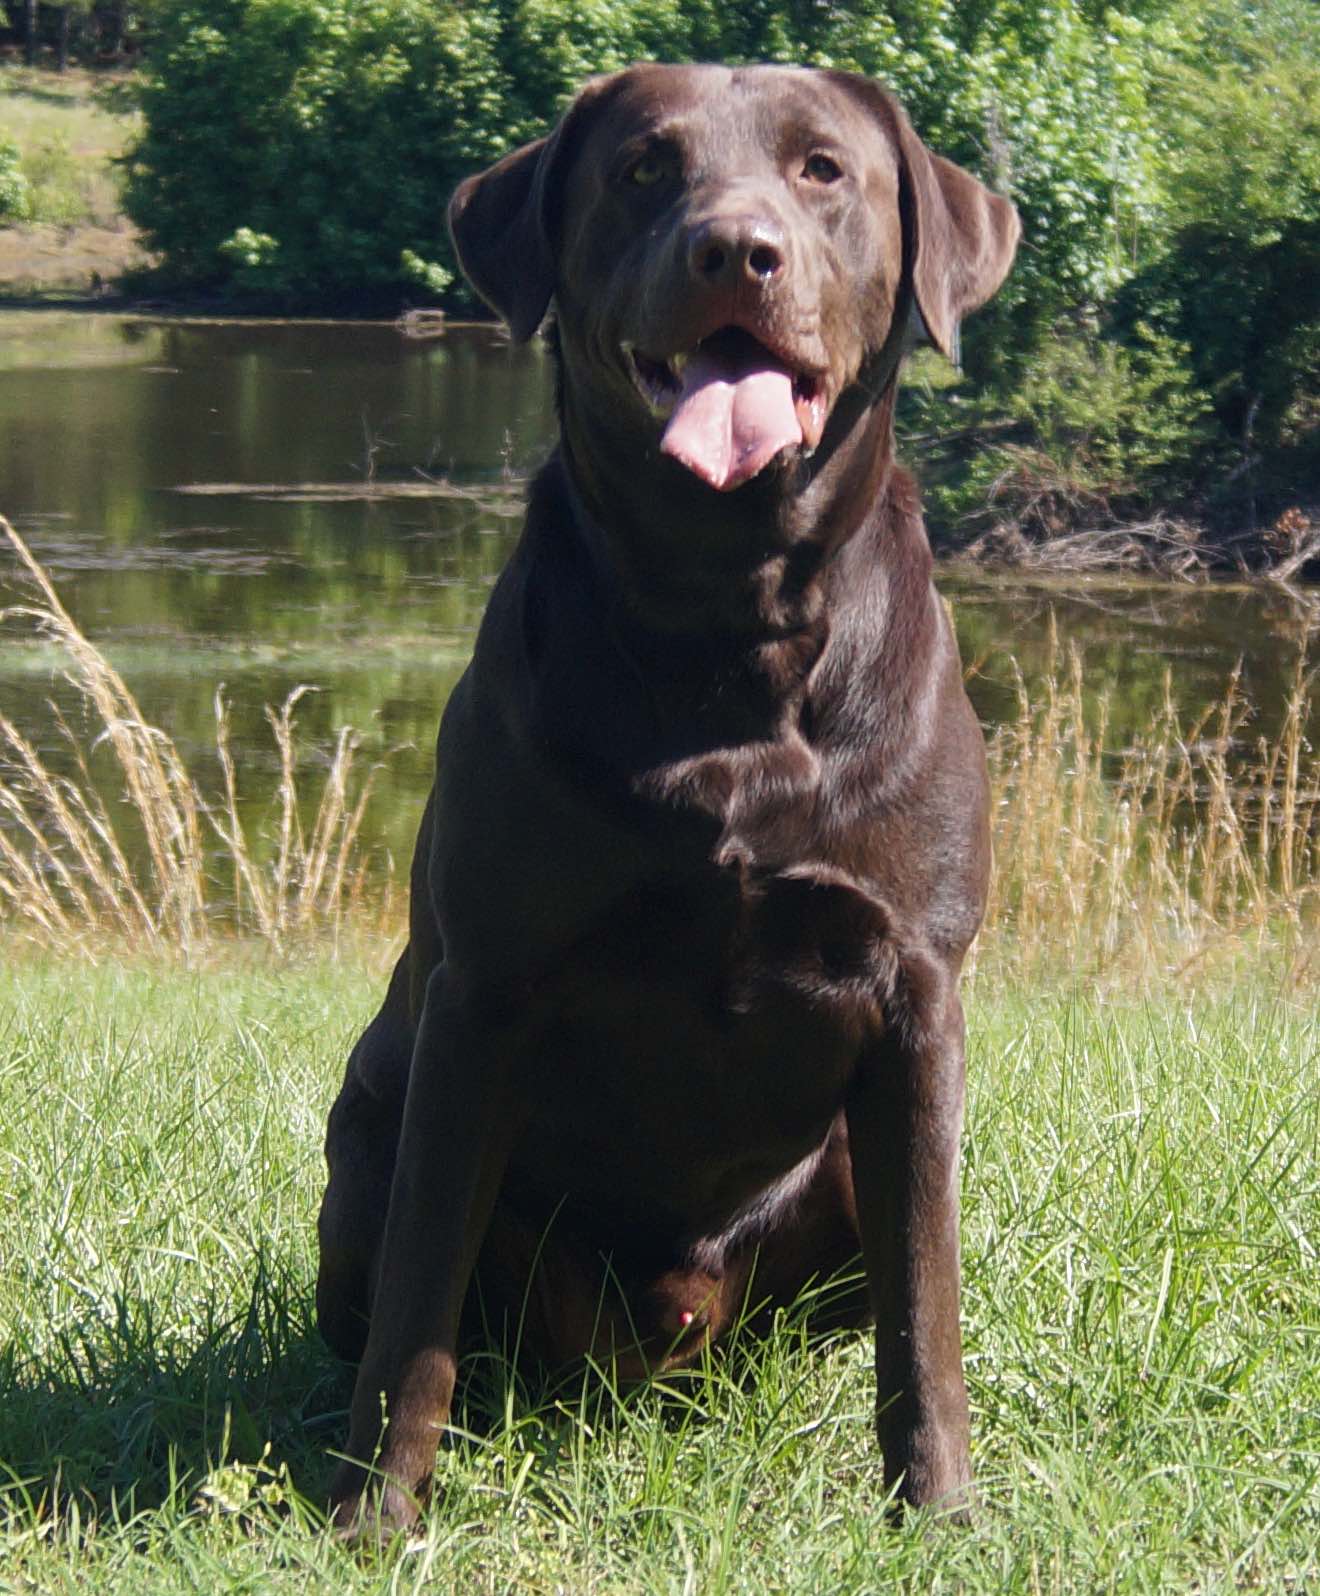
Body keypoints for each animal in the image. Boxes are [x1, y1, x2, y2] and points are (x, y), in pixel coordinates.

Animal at [320, 65, 1021, 1532]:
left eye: (823, 171)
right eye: (646, 169)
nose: (735, 250)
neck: (726, 616)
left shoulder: (916, 995)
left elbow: (925, 1307)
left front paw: (938, 1509)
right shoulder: (481, 996)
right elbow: (420, 1300)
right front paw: (376, 1510)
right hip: (368, 1118)